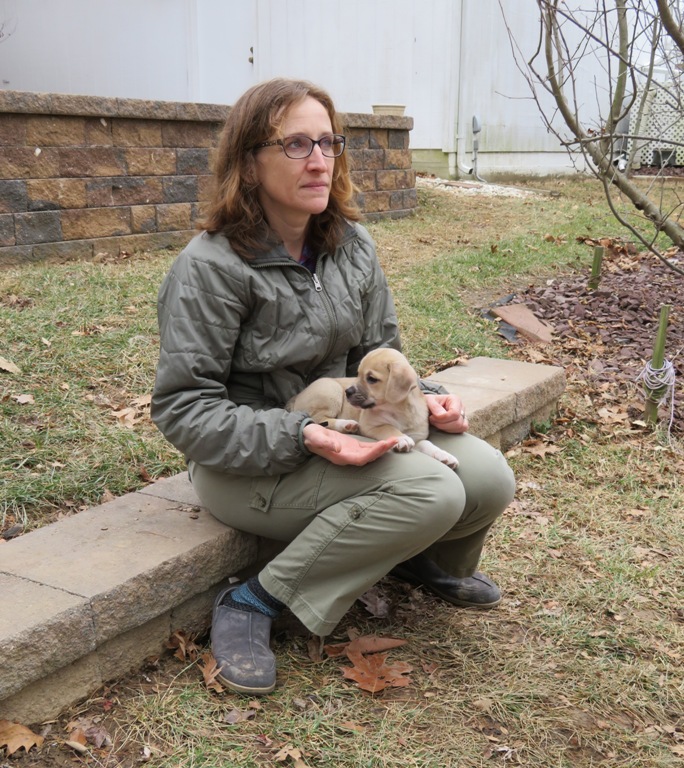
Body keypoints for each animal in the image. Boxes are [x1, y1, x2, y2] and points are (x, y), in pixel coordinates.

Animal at [286, 348, 456, 468]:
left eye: (371, 379)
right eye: (358, 374)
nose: (348, 392)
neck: (398, 410)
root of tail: (296, 397)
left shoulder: (418, 437)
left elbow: (427, 444)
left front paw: (444, 455)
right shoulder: (371, 426)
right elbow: (388, 428)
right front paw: (401, 438)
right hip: (330, 390)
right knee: (318, 419)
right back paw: (347, 424)